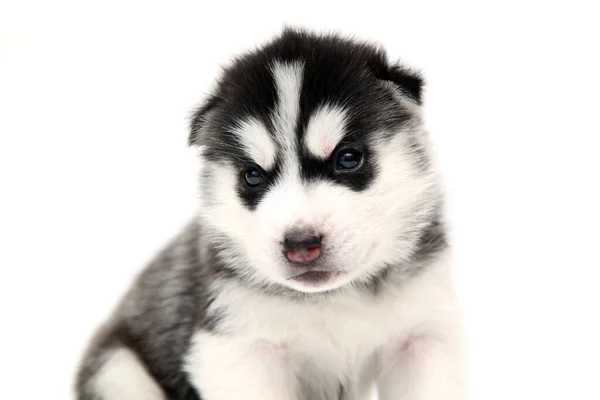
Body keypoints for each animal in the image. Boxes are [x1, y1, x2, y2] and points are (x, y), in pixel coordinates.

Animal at [75, 28, 466, 400]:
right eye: (252, 175)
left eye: (348, 158)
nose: (301, 244)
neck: (333, 297)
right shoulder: (237, 348)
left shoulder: (421, 337)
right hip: (117, 370)